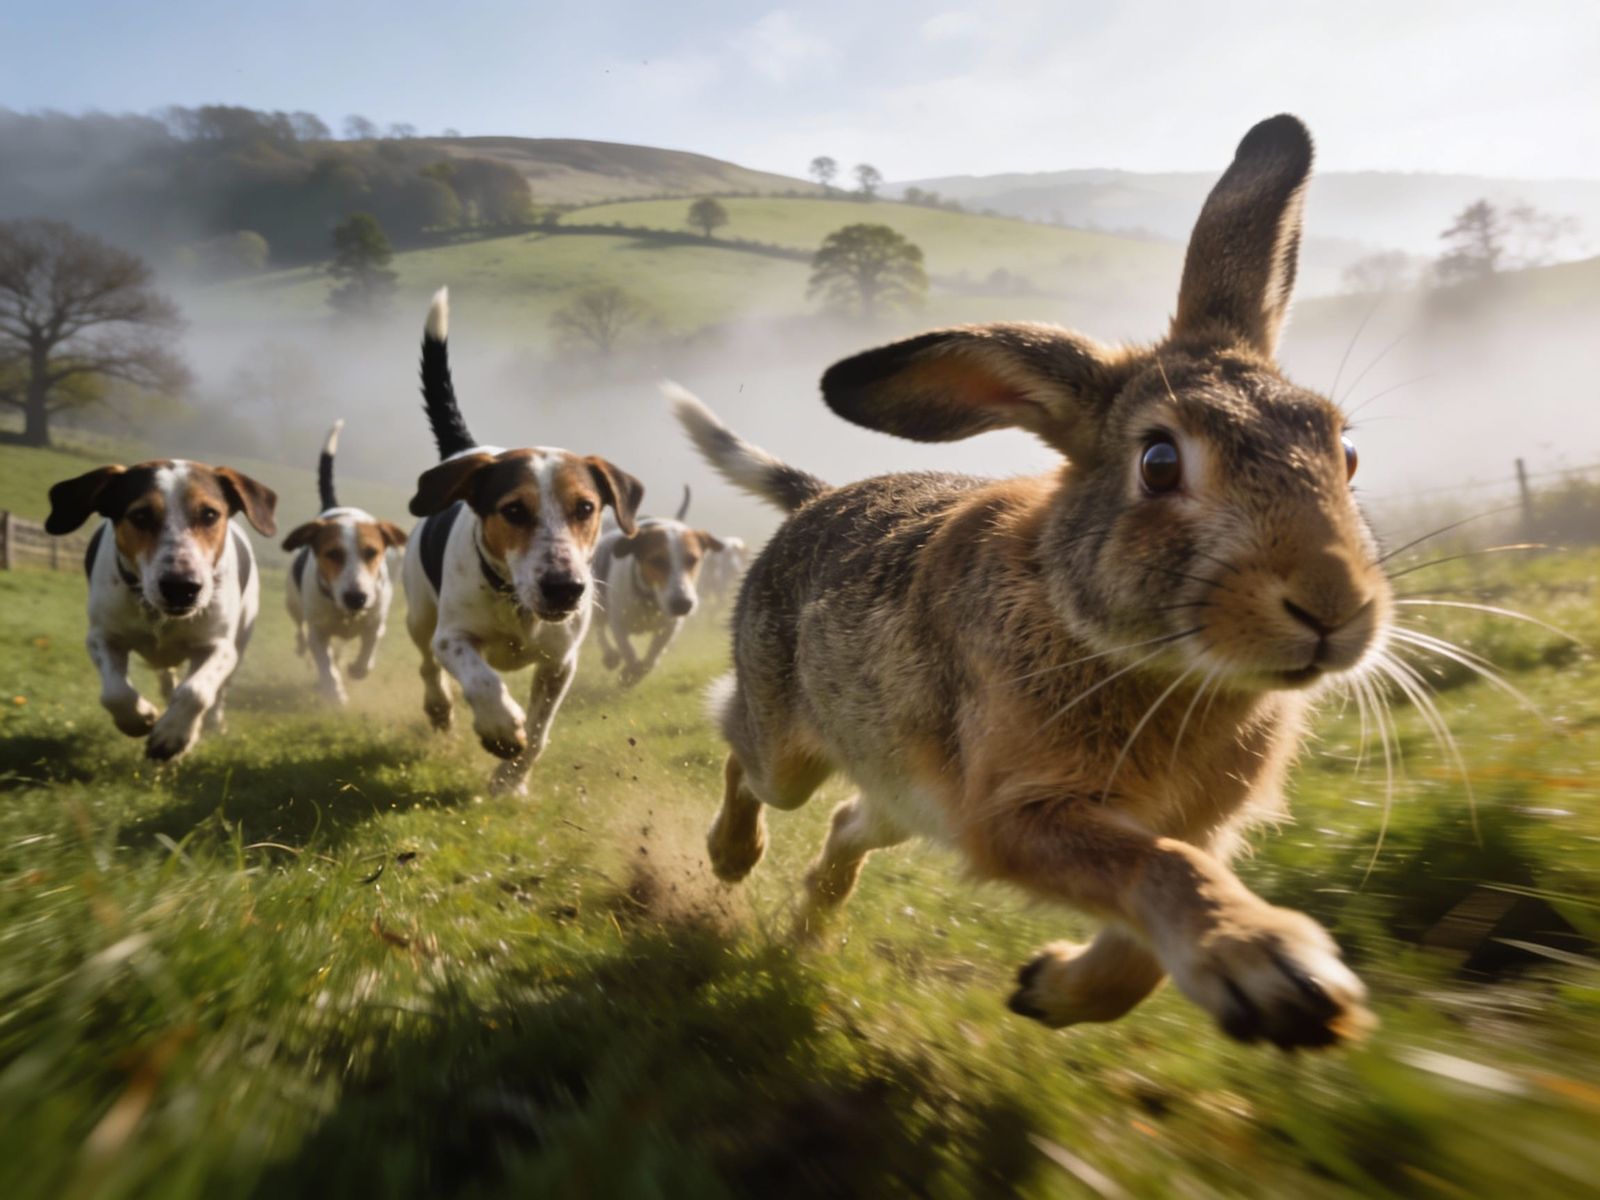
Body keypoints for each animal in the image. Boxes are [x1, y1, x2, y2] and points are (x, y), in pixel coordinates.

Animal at [671, 114, 1388, 1051]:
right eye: (1159, 463)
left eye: (1346, 452)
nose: (1333, 608)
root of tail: (814, 500)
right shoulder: (1017, 814)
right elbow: (1159, 868)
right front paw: (1269, 962)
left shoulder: (1197, 826)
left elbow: (1142, 951)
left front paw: (1049, 989)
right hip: (791, 742)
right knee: (743, 752)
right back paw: (731, 856)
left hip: (904, 794)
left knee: (844, 823)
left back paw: (807, 931)